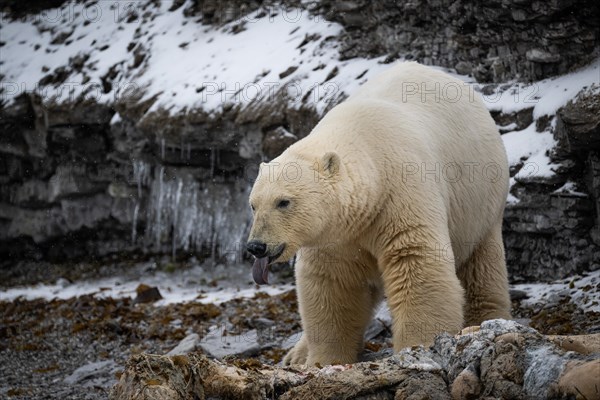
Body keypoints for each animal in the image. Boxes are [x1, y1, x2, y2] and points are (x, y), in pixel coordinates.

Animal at [244, 61, 510, 366]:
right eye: (253, 204)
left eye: (283, 202)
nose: (256, 246)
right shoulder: (337, 234)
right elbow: (332, 284)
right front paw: (324, 359)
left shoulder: (400, 194)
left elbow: (416, 261)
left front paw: (417, 346)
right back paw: (296, 354)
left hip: (481, 202)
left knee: (481, 267)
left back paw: (484, 321)